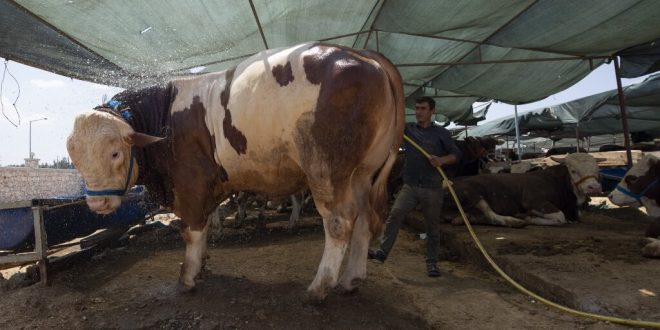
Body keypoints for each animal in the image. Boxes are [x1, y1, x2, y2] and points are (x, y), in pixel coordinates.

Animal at [68, 42, 408, 300]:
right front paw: (202, 265)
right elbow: (205, 227)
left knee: (340, 221)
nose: (97, 202)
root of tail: (360, 53)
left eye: (115, 152)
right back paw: (352, 279)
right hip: (363, 172)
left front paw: (187, 277)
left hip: (326, 170)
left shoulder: (190, 183)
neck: (164, 117)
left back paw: (319, 287)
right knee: (364, 218)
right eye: (74, 155)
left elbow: (191, 230)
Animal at [444, 154, 604, 227]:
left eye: (597, 170)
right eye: (573, 171)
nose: (594, 187)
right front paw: (529, 217)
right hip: (472, 194)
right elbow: (560, 217)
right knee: (492, 216)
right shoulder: (533, 200)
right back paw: (516, 221)